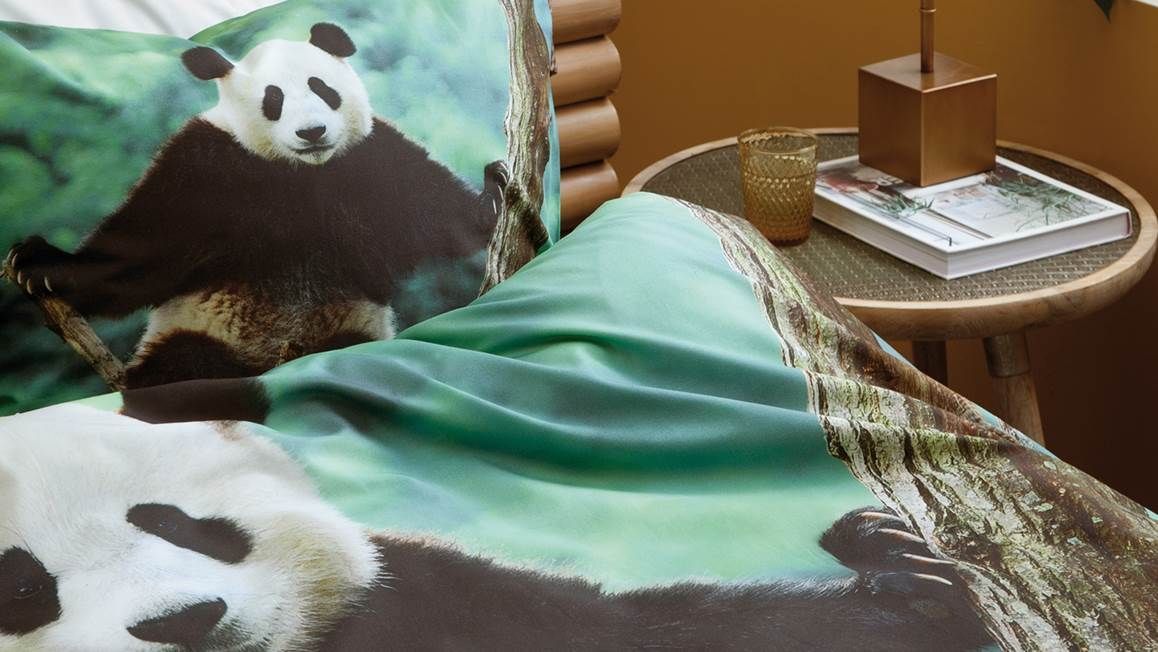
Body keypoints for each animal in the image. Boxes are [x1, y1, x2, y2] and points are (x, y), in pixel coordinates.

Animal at [6, 23, 505, 389]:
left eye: (322, 88)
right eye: (274, 99)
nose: (312, 132)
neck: (299, 173)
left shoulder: (368, 160)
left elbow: (429, 208)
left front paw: (492, 197)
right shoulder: (204, 167)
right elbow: (143, 248)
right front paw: (42, 263)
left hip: (350, 326)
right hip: (197, 331)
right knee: (183, 367)